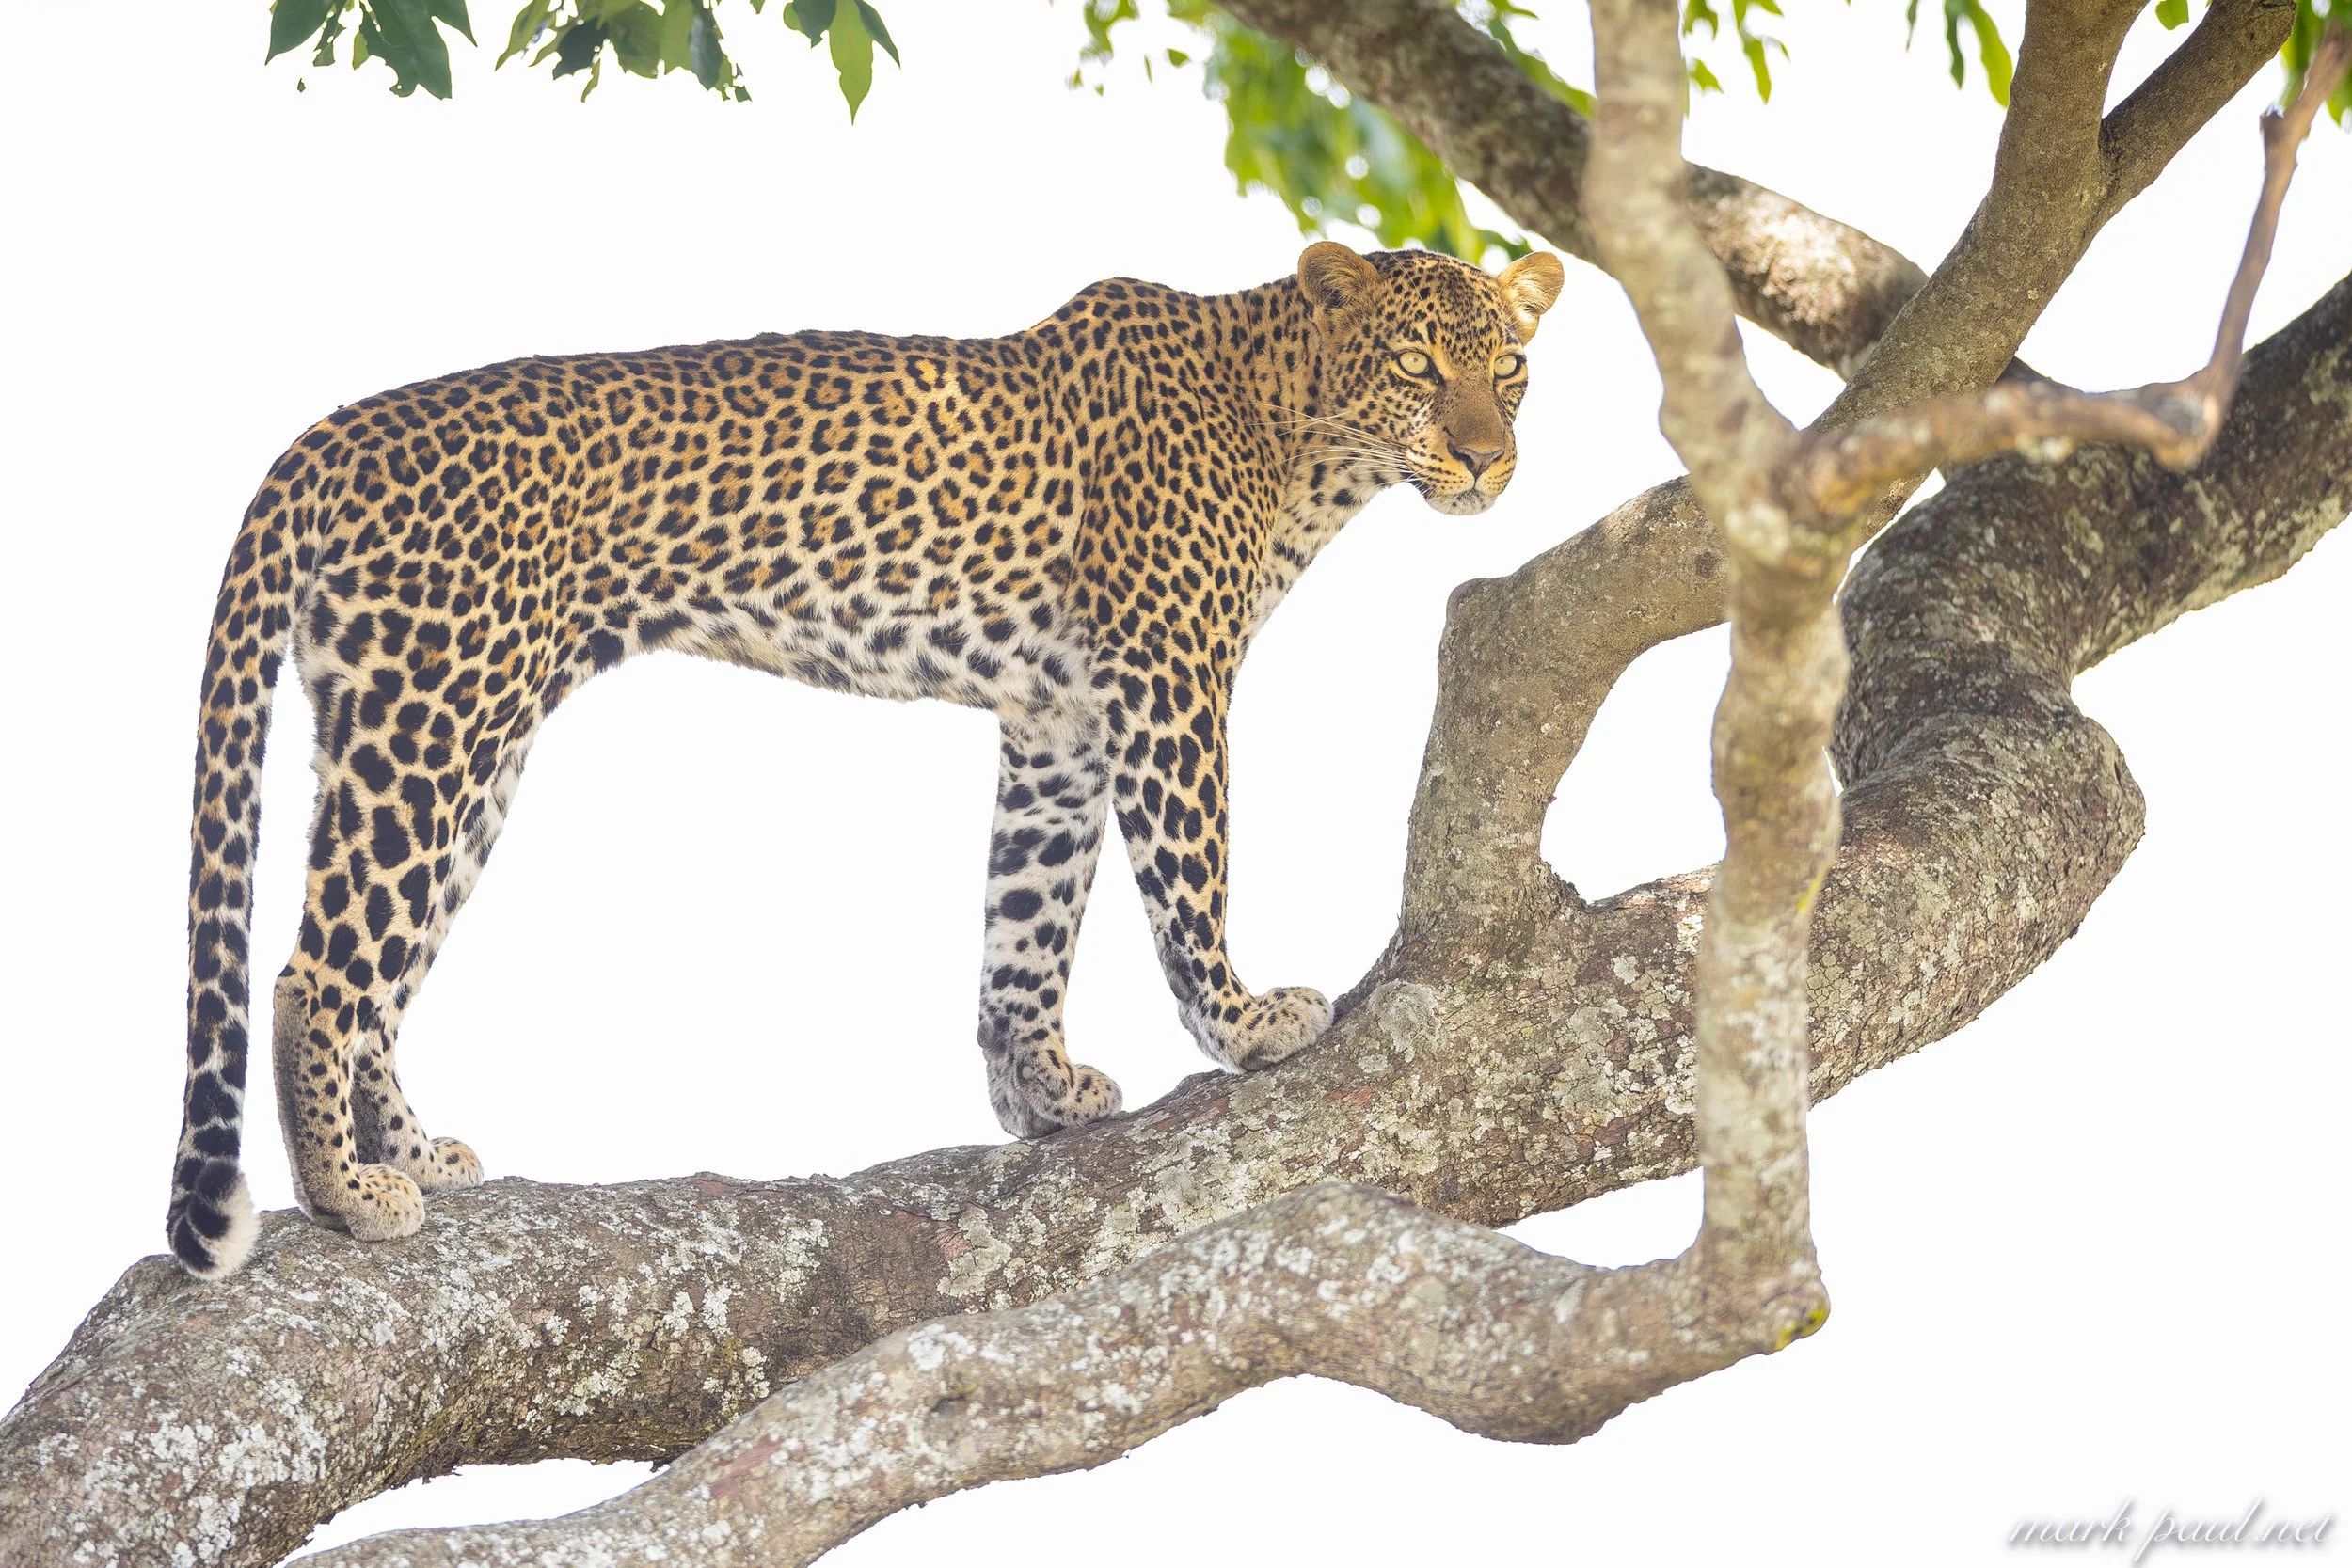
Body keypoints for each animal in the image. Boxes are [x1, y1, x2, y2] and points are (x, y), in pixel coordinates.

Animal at [166, 239, 1566, 1277]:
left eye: (1510, 370)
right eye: (1419, 364)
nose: (1489, 456)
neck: (1302, 438)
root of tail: (328, 436)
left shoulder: (1061, 716)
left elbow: (1029, 911)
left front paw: (1039, 1086)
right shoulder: (1168, 678)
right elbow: (1190, 867)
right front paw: (1241, 1022)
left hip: (443, 738)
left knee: (379, 975)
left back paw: (409, 1155)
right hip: (435, 719)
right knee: (312, 973)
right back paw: (347, 1194)